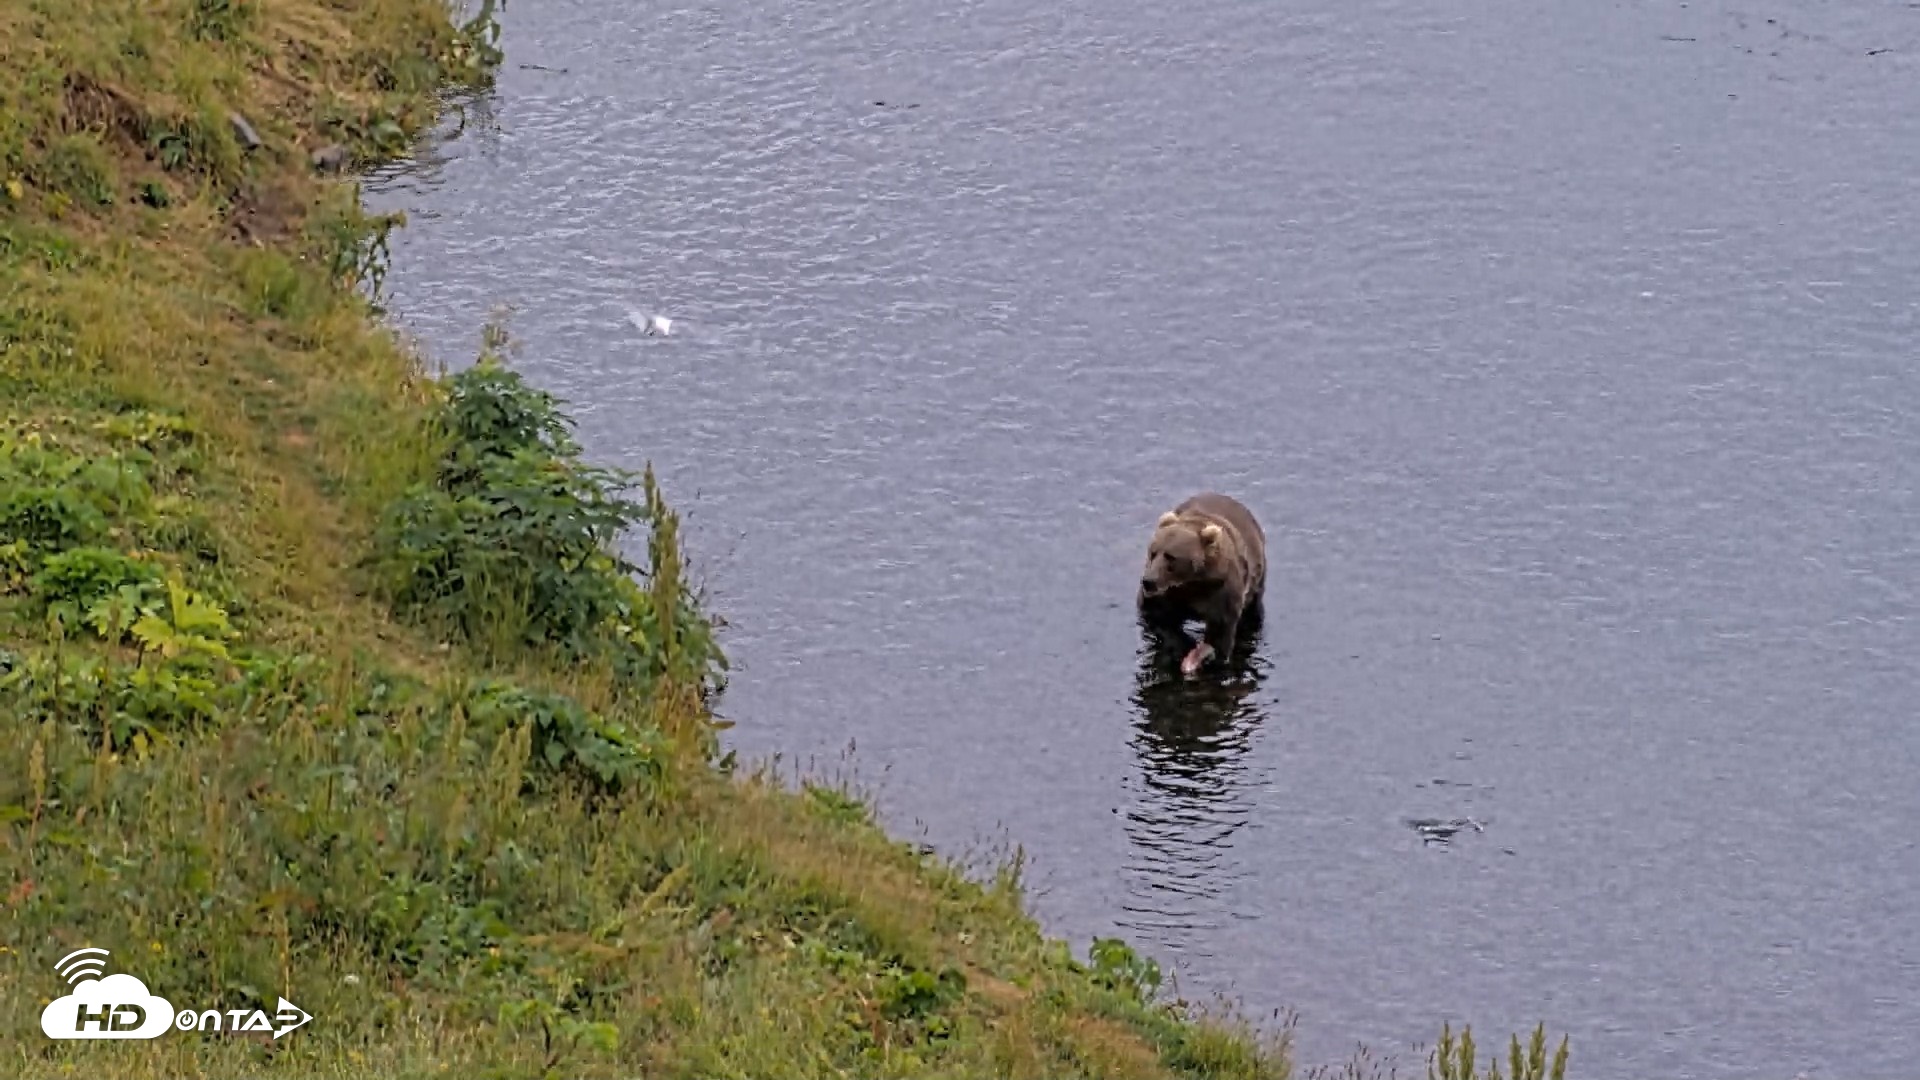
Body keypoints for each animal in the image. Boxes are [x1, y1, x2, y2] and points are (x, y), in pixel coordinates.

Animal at [1135, 492, 1267, 677]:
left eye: (1171, 557)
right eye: (1153, 553)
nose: (1148, 581)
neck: (1191, 583)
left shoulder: (1221, 591)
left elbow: (1220, 631)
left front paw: (1208, 657)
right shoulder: (1165, 596)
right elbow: (1155, 615)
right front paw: (1183, 644)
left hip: (1257, 583)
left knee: (1252, 615)